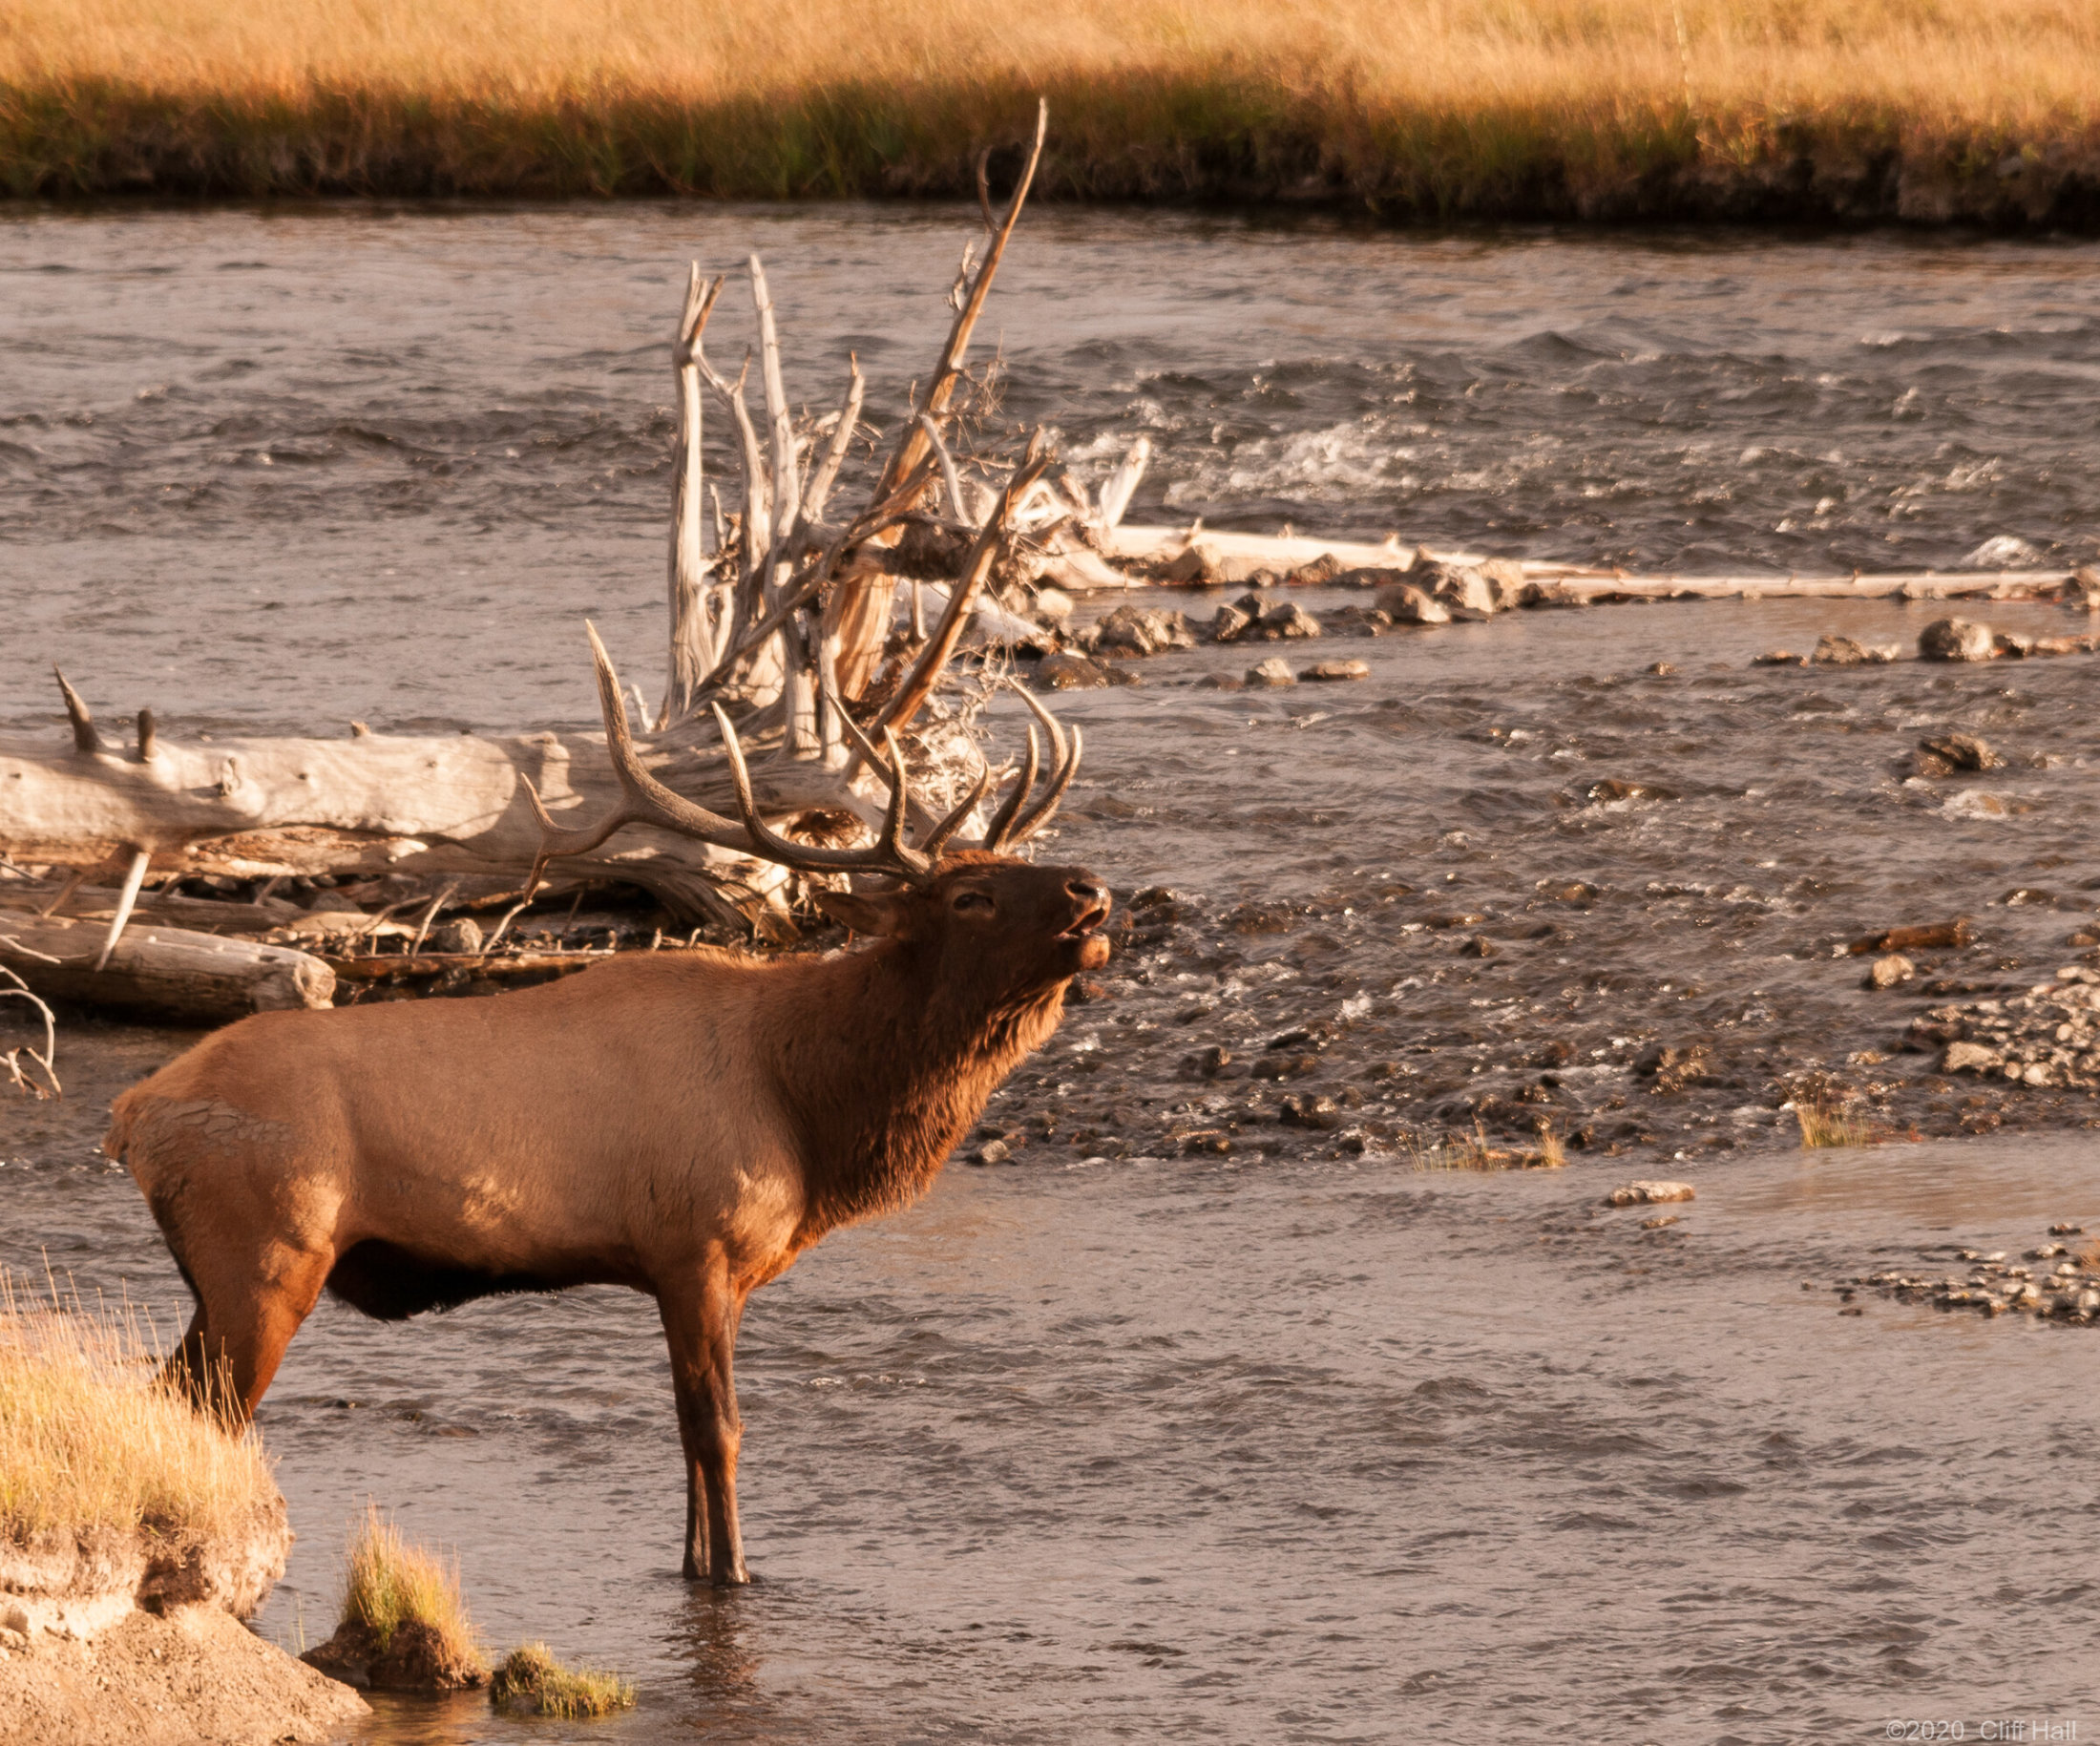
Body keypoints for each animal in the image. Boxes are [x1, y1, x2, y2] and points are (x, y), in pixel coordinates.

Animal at [106, 632, 1110, 1586]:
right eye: (969, 895)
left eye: (1013, 865)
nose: (1093, 890)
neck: (808, 1104)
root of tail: (133, 1113)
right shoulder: (694, 1245)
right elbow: (718, 1429)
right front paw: (734, 1572)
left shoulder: (702, 1268)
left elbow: (690, 1434)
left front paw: (697, 1565)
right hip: (264, 1259)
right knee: (197, 1407)